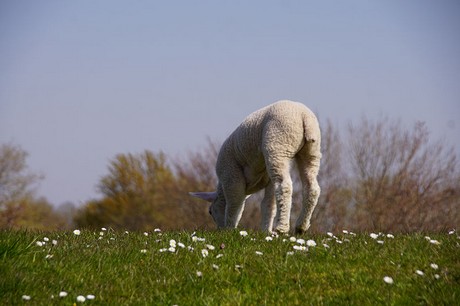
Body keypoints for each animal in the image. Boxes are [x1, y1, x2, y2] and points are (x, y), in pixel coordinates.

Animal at [190, 100, 320, 234]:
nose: (219, 231)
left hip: (278, 145)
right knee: (311, 187)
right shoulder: (268, 180)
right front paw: (265, 231)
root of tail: (304, 116)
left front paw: (229, 229)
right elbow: (268, 205)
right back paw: (301, 227)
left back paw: (282, 228)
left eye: (210, 212)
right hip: (311, 152)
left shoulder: (231, 175)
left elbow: (235, 203)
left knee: (284, 186)